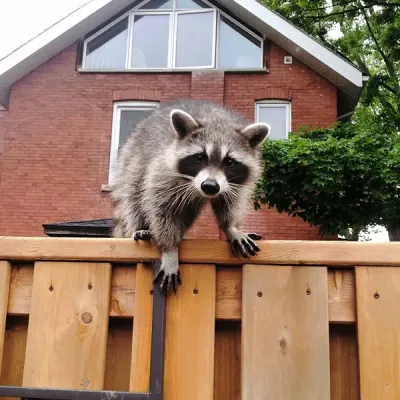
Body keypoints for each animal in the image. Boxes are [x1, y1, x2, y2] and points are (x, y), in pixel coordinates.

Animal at [111, 100, 270, 294]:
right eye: (200, 157)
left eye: (230, 162)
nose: (210, 186)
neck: (217, 120)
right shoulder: (163, 171)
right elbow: (161, 208)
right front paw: (170, 248)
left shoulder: (232, 185)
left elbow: (229, 202)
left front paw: (231, 227)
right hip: (132, 161)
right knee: (134, 194)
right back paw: (139, 226)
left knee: (188, 211)